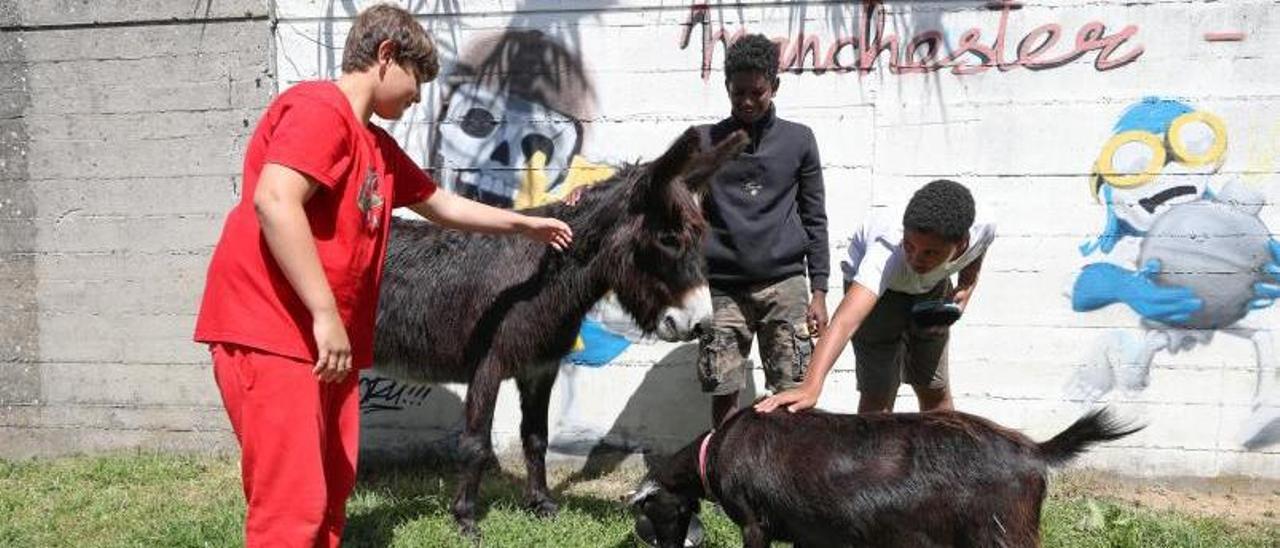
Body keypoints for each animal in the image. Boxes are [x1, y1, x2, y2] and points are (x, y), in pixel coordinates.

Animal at [373, 127, 747, 535]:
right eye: (668, 239)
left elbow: (537, 437)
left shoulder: (541, 367)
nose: (701, 323)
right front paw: (466, 518)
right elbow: (475, 443)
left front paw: (541, 504)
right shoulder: (488, 366)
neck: (545, 276)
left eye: (699, 239)